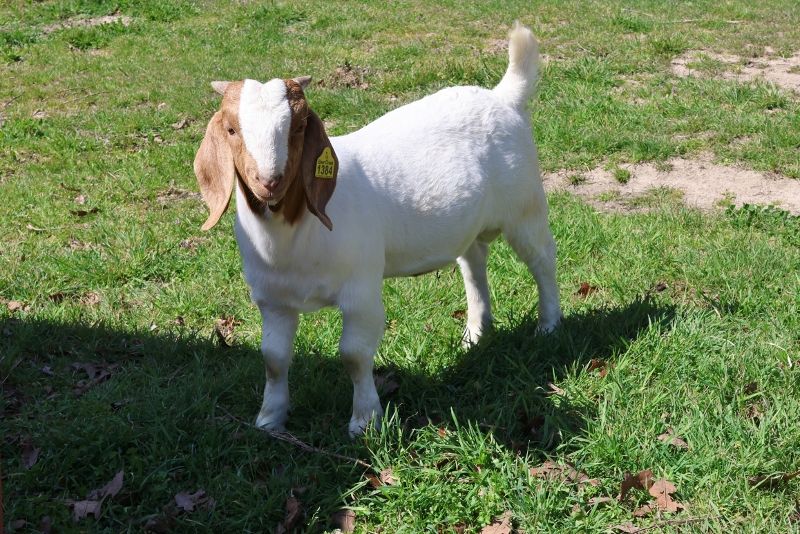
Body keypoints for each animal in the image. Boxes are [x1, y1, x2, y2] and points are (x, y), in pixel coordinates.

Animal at [194, 23, 562, 436]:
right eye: (231, 129)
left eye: (300, 126)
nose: (269, 182)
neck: (292, 233)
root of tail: (503, 97)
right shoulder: (272, 298)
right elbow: (273, 358)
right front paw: (270, 420)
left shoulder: (362, 288)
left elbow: (354, 355)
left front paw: (365, 422)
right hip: (470, 222)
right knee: (473, 263)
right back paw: (476, 333)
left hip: (525, 205)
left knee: (542, 259)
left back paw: (548, 325)